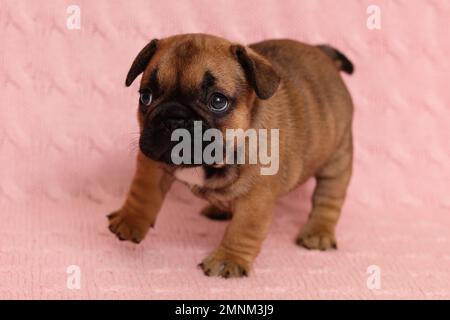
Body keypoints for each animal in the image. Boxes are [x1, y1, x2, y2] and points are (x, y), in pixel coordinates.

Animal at [107, 33, 354, 278]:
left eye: (218, 101)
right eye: (145, 97)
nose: (173, 120)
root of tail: (321, 52)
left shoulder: (256, 197)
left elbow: (243, 229)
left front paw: (228, 259)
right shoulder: (152, 163)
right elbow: (143, 192)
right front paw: (129, 221)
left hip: (337, 158)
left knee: (328, 198)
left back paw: (318, 232)